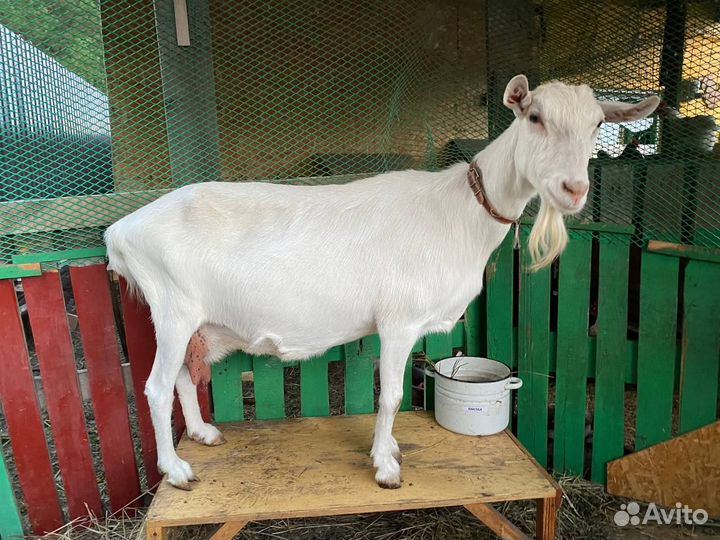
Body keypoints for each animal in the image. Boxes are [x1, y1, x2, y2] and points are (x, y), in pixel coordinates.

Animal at [105, 75, 659, 490]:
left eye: (597, 125)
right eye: (535, 117)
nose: (573, 189)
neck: (458, 213)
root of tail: (119, 231)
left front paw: (388, 448)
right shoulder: (399, 321)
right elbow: (390, 395)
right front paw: (386, 466)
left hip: (197, 323)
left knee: (182, 376)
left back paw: (202, 434)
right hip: (173, 309)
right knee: (156, 386)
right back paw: (177, 470)